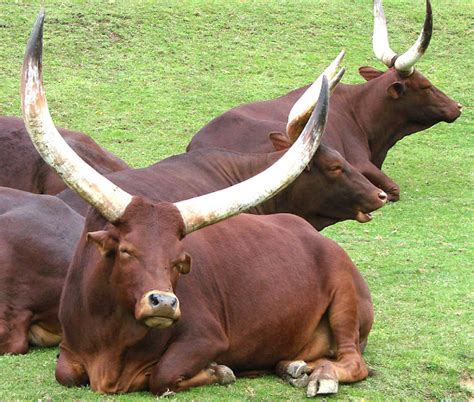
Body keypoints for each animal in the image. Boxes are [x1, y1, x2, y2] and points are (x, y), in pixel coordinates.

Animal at [22, 11, 372, 394]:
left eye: (180, 261)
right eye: (126, 251)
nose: (164, 302)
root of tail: (325, 243)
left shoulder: (205, 338)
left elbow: (161, 376)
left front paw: (219, 370)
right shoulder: (70, 350)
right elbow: (65, 373)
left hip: (346, 301)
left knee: (354, 362)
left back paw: (321, 376)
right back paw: (293, 367)